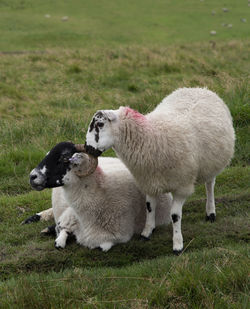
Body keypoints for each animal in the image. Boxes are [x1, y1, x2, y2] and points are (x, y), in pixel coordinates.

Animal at [27, 142, 172, 250]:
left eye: (64, 158)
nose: (32, 176)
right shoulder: (70, 214)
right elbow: (62, 230)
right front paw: (58, 237)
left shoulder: (118, 236)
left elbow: (102, 246)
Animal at [85, 86, 235, 253]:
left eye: (100, 125)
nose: (87, 148)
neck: (149, 137)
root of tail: (200, 89)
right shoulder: (149, 180)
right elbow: (150, 207)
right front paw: (147, 232)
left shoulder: (182, 186)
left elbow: (175, 215)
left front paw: (177, 244)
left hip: (212, 164)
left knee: (210, 186)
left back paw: (210, 213)